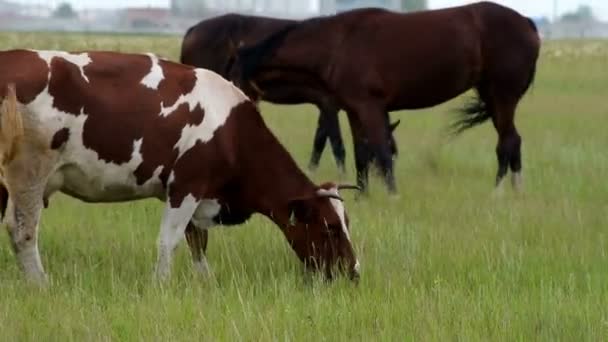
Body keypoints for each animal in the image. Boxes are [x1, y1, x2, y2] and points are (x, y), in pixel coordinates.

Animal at [0, 49, 360, 284]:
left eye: (347, 223)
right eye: (330, 227)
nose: (354, 272)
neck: (230, 129)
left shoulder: (197, 194)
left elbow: (196, 241)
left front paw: (205, 282)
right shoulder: (187, 185)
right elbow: (169, 240)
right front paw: (161, 284)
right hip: (30, 171)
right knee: (23, 231)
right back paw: (40, 284)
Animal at [178, 13, 402, 174]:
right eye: (389, 148)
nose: (378, 174)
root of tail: (192, 30)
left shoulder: (326, 106)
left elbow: (320, 139)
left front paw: (311, 170)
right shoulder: (328, 103)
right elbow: (336, 144)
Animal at [229, 1, 540, 195]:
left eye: (232, 78)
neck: (338, 45)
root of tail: (527, 23)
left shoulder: (370, 108)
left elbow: (381, 151)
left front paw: (392, 196)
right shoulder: (353, 110)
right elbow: (361, 154)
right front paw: (362, 196)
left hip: (502, 95)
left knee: (507, 142)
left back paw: (498, 193)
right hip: (492, 96)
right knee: (513, 141)